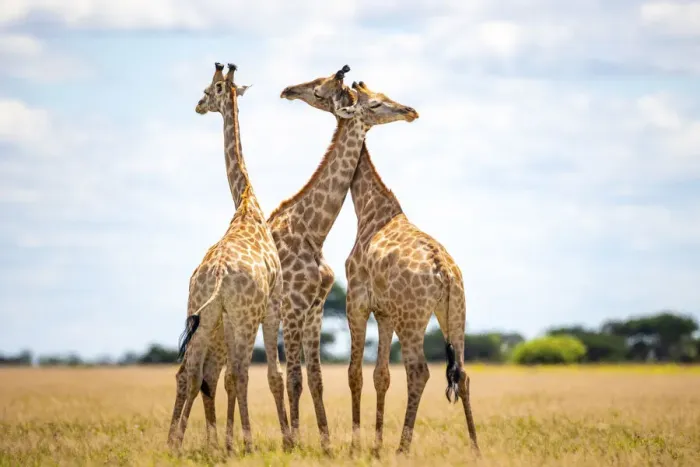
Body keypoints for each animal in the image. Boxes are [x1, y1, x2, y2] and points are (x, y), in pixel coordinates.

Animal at [167, 63, 290, 453]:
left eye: (209, 90)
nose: (198, 105)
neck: (247, 204)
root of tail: (219, 274)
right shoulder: (273, 304)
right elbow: (272, 374)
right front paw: (287, 440)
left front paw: (225, 442)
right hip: (242, 318)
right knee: (238, 373)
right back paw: (246, 443)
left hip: (205, 318)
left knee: (190, 373)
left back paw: (175, 443)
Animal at [269, 66, 417, 451]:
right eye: (375, 102)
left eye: (319, 85)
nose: (287, 90)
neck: (310, 228)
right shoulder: (295, 306)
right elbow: (296, 377)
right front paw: (295, 445)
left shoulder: (314, 307)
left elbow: (314, 378)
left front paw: (324, 445)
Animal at [288, 80, 480, 455]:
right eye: (377, 100)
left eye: (319, 90)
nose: (410, 111)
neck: (369, 209)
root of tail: (444, 273)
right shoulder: (385, 313)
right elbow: (381, 376)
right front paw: (374, 447)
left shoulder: (358, 302)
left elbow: (355, 372)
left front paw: (357, 447)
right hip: (454, 313)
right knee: (463, 373)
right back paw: (476, 449)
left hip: (413, 318)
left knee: (419, 371)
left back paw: (402, 448)